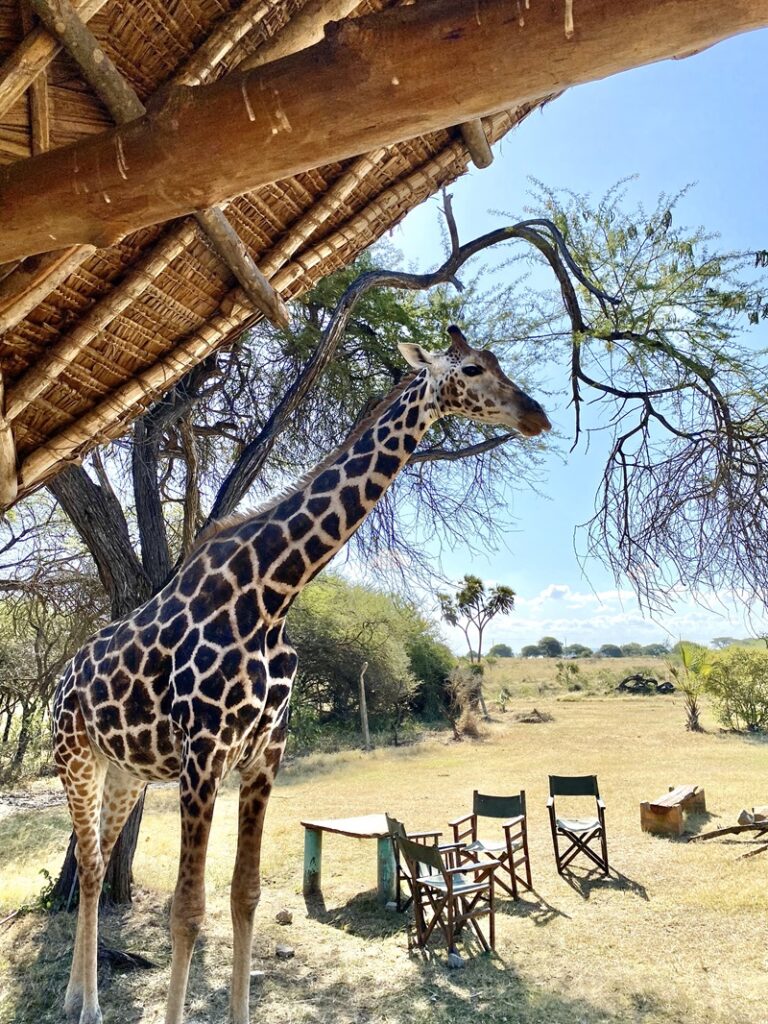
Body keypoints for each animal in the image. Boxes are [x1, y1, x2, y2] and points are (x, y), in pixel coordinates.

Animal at [52, 325, 551, 1024]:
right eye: (473, 368)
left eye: (498, 362)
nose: (537, 415)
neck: (273, 595)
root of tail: (60, 682)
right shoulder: (204, 753)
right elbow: (187, 910)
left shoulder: (266, 753)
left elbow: (246, 895)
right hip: (74, 758)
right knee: (94, 867)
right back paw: (90, 1003)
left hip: (123, 770)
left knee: (94, 861)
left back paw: (78, 995)